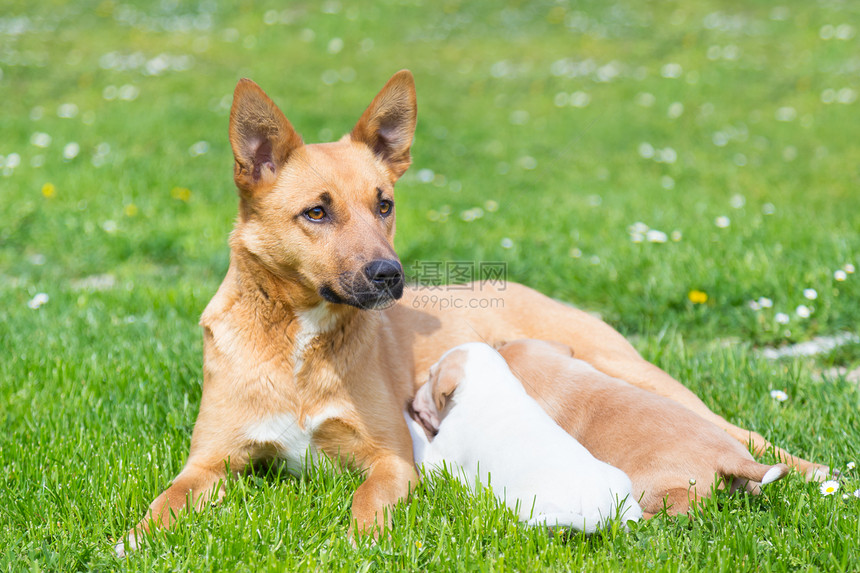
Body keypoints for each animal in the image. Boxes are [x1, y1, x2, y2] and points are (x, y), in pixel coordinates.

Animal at [406, 340, 640, 532]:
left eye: (430, 376)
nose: (414, 398)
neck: (492, 386)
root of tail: (598, 504)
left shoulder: (436, 461)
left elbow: (419, 441)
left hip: (522, 504)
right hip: (626, 498)